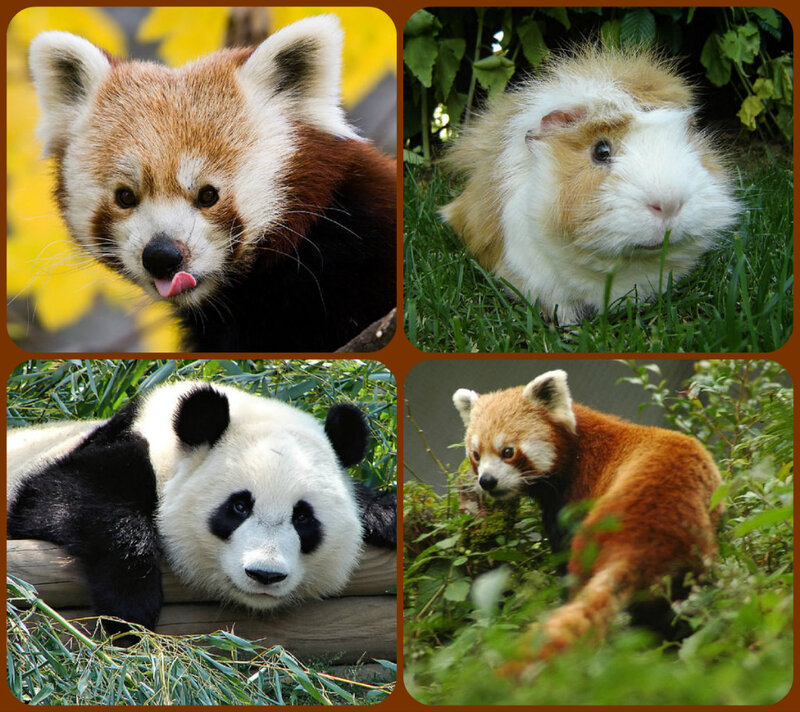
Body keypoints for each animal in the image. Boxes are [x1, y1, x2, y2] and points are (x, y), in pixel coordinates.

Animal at [6, 380, 396, 633]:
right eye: (239, 507)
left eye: (302, 517)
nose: (265, 574)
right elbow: (64, 497)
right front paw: (129, 611)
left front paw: (386, 515)